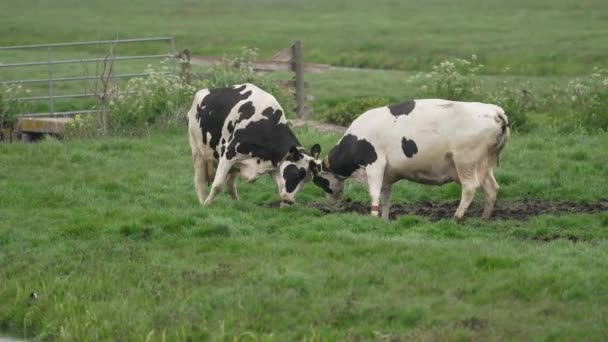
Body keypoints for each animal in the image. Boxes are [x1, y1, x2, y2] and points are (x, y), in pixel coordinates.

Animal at [188, 83, 324, 207]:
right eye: (296, 173)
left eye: (307, 180)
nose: (289, 201)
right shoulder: (228, 154)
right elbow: (217, 185)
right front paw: (207, 205)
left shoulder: (275, 167)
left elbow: (280, 188)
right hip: (197, 150)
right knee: (199, 180)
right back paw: (202, 202)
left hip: (233, 167)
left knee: (230, 185)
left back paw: (236, 203)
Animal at [308, 99, 508, 222]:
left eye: (318, 181)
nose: (330, 202)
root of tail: (494, 110)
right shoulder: (388, 174)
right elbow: (386, 197)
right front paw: (384, 219)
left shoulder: (375, 165)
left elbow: (374, 194)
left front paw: (372, 217)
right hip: (484, 165)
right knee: (491, 188)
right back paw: (484, 218)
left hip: (465, 162)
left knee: (469, 188)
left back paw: (456, 217)